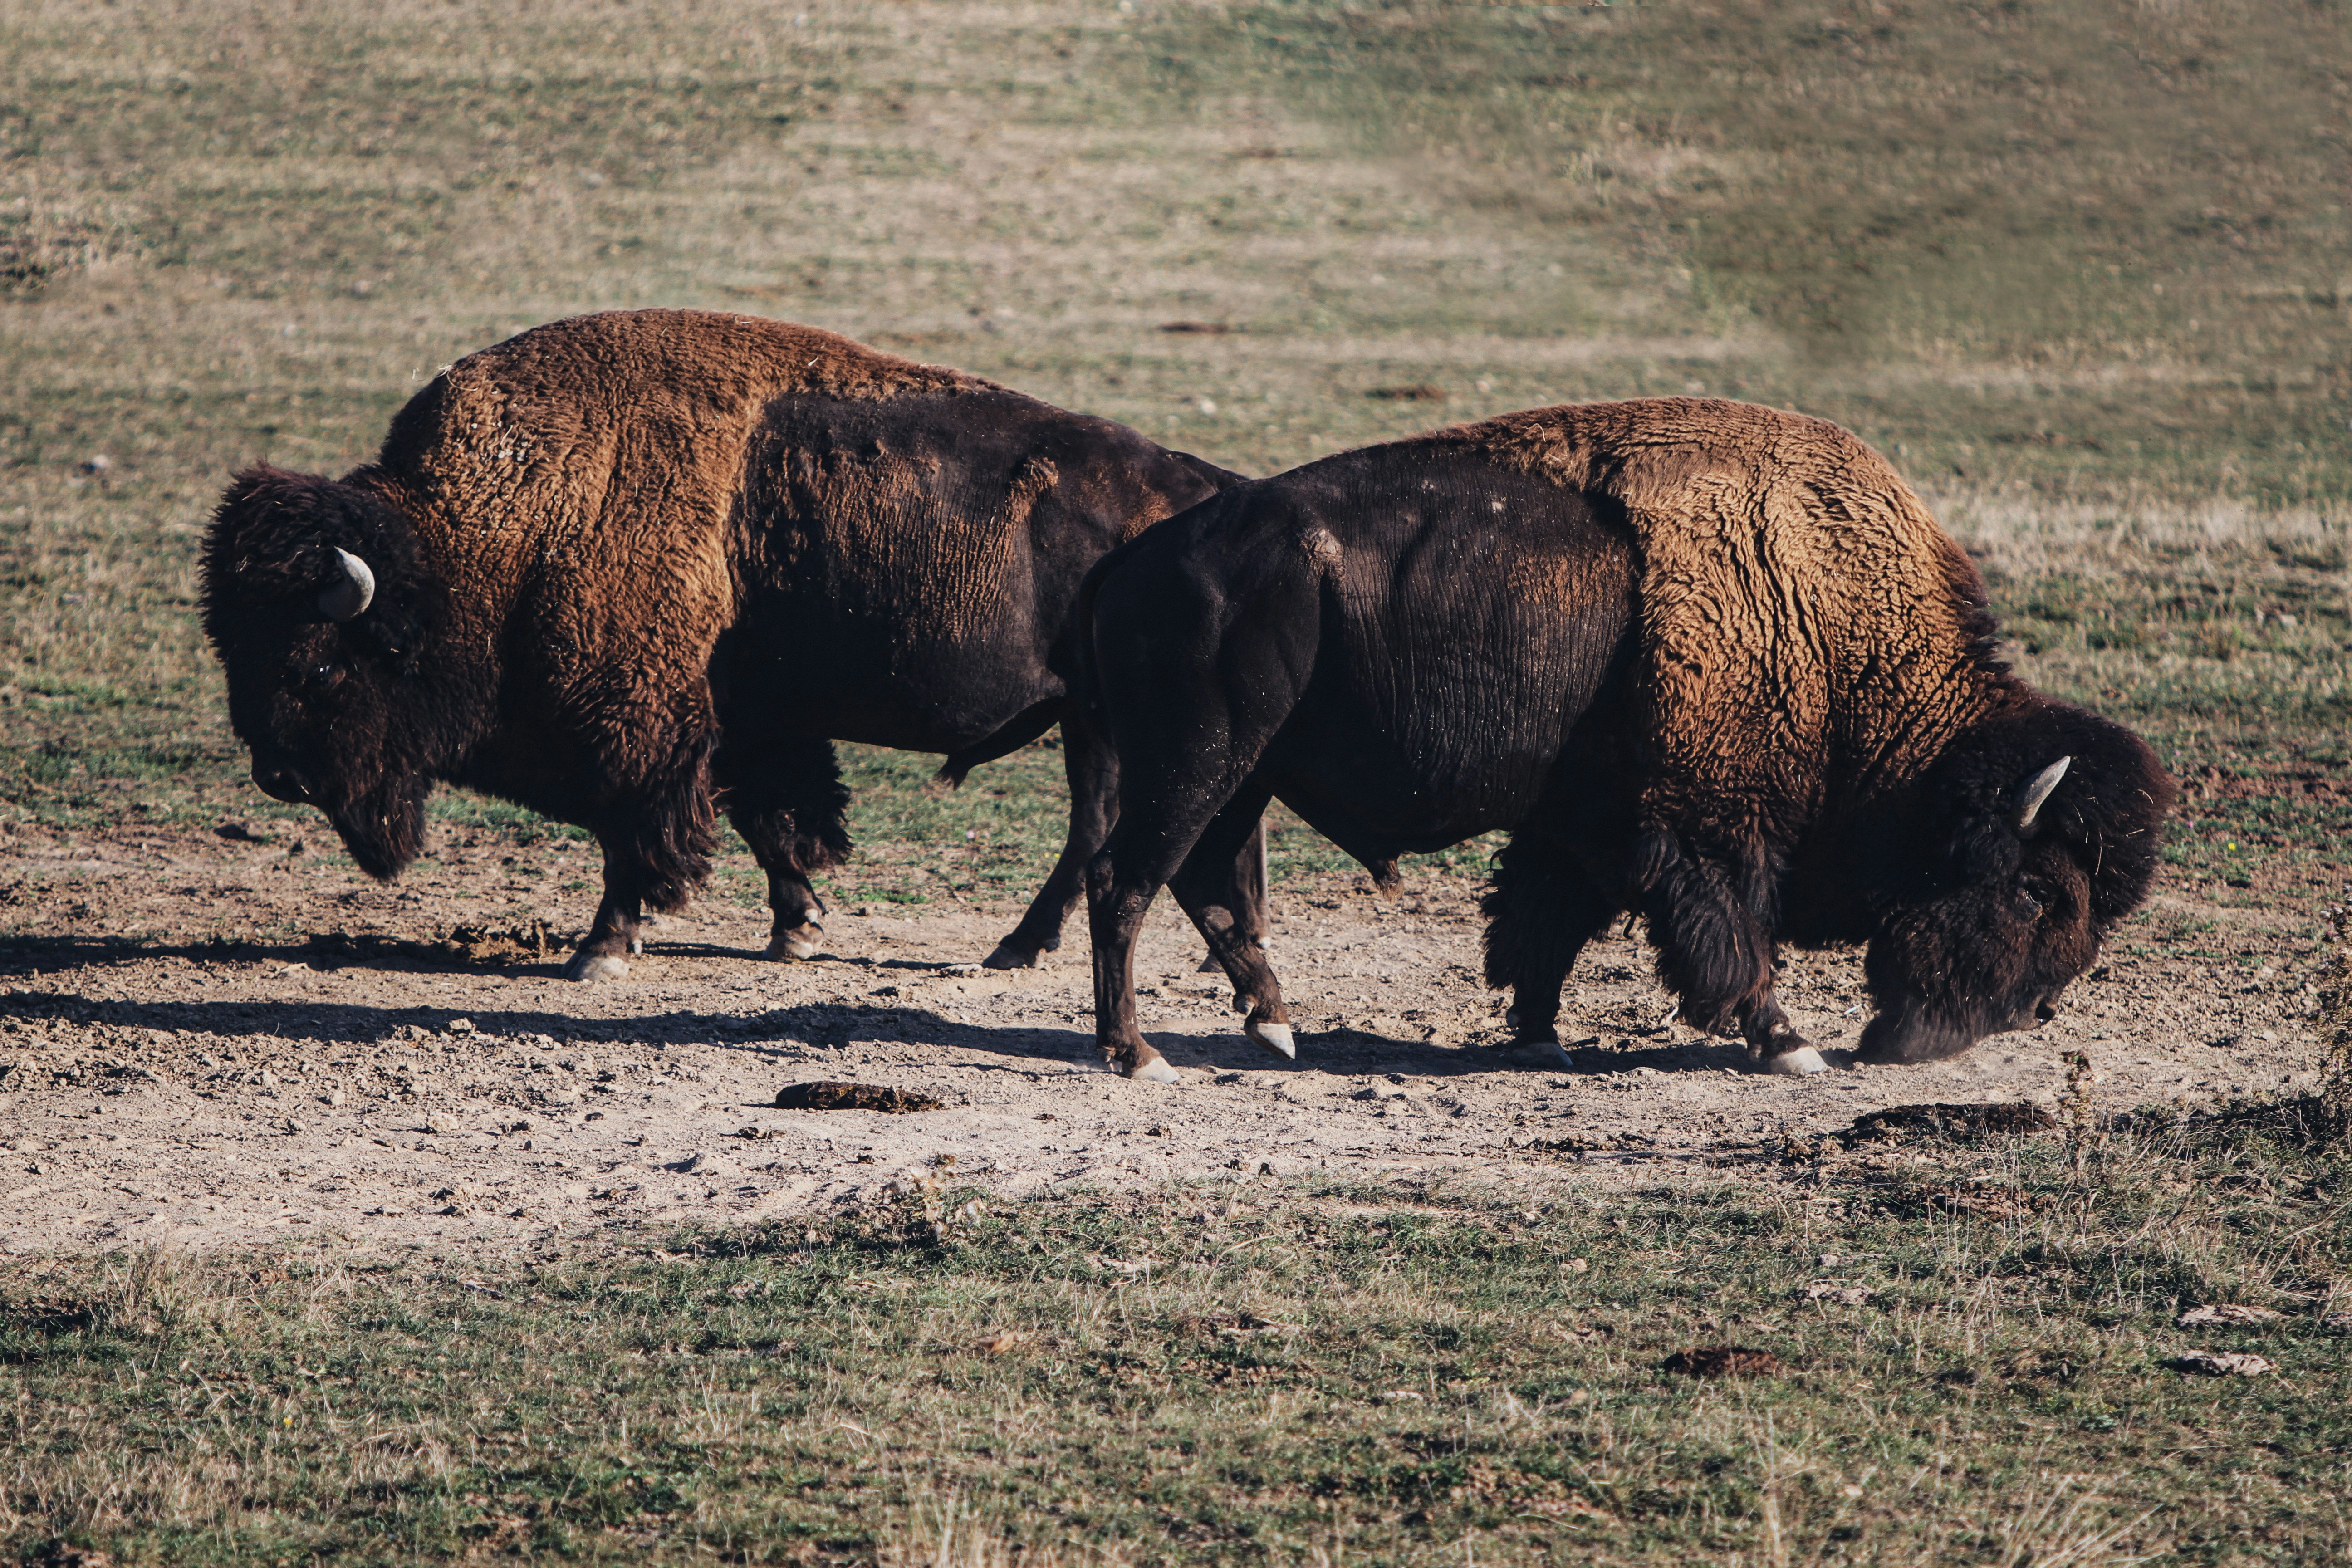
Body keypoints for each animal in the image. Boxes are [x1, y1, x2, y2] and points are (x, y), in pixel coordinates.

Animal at [201, 309, 1264, 979]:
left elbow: (639, 833)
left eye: (320, 662)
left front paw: (601, 950)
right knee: (1098, 824)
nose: (278, 776)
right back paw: (1017, 948)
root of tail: (1206, 489)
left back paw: (1014, 949)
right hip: (1091, 720)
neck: (494, 534)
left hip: (1103, 719)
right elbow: (766, 817)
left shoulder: (638, 729)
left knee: (1096, 827)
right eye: (233, 648)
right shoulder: (743, 718)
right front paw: (797, 928)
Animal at [1080, 398, 2173, 1082]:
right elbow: (1731, 941)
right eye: (2033, 890)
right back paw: (1138, 1056)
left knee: (1205, 885)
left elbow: (1541, 927)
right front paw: (1790, 1046)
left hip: (1243, 776)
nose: (2032, 1011)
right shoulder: (1705, 830)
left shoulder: (1584, 827)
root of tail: (1135, 561)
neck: (1828, 629)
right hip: (1200, 762)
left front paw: (1538, 1038)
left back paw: (1274, 1028)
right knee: (1125, 882)